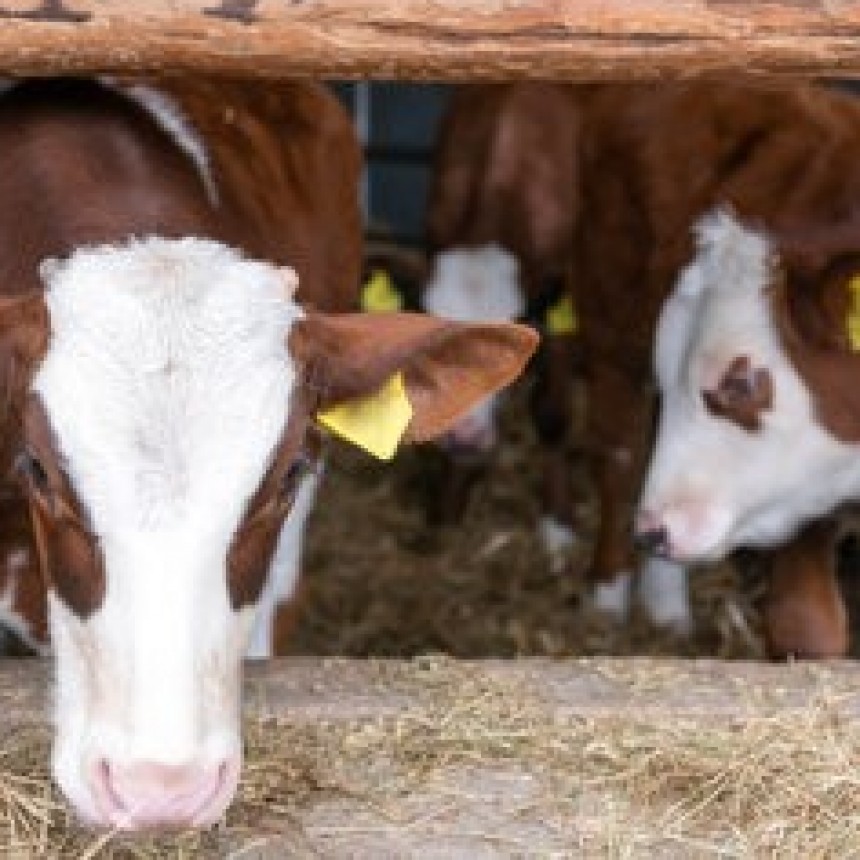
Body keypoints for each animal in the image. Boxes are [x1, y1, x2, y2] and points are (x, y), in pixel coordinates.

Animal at [569, 79, 860, 654]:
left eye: (741, 381)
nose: (654, 530)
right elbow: (807, 627)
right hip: (610, 323)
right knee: (619, 456)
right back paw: (608, 601)